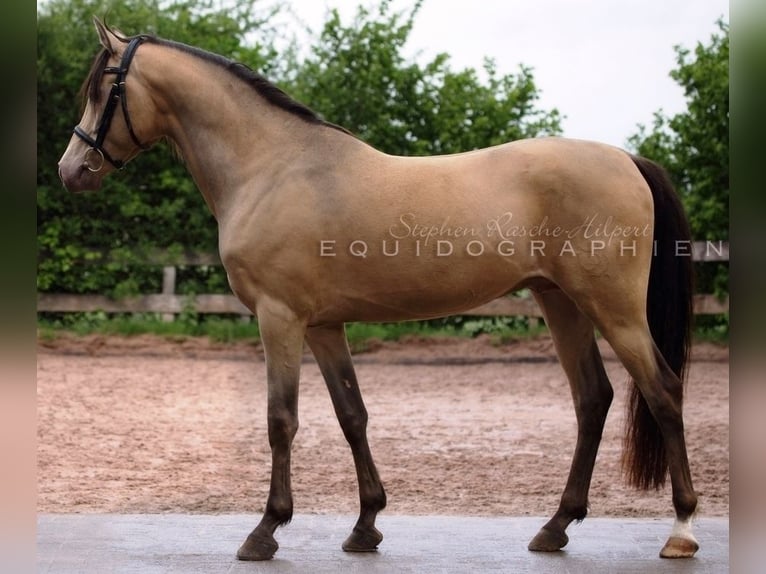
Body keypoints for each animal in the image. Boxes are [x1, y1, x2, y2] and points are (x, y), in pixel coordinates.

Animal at [58, 19, 704, 564]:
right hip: (560, 302)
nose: (71, 171)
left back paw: (681, 531)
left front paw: (265, 530)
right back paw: (555, 527)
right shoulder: (323, 325)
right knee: (593, 399)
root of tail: (626, 158)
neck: (272, 168)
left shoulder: (279, 318)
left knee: (664, 392)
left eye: (103, 89)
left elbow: (281, 419)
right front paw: (366, 525)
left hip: (613, 309)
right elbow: (352, 415)